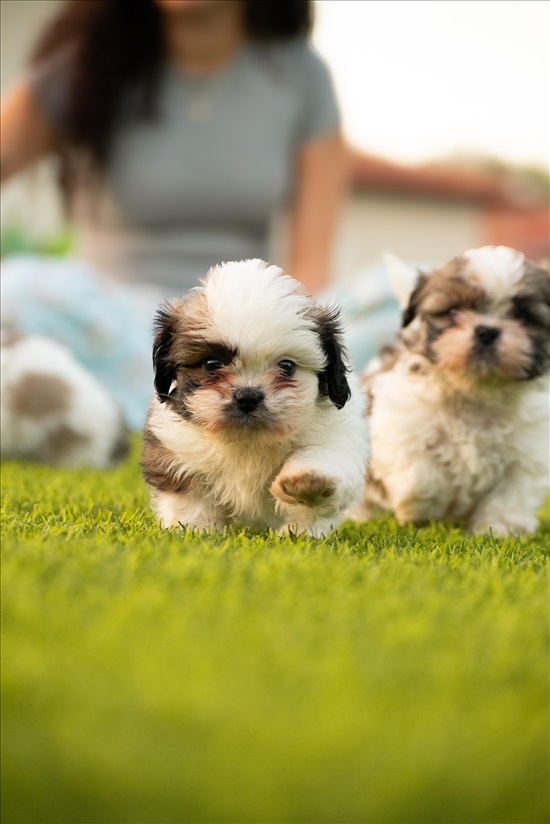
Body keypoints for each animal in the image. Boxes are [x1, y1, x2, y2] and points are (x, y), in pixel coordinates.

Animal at [142, 260, 370, 536]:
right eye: (211, 364)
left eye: (286, 366)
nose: (248, 396)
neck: (249, 439)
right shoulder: (178, 449)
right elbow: (192, 498)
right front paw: (197, 530)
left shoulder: (338, 435)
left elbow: (322, 463)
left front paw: (306, 486)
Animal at [354, 245, 550, 536]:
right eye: (454, 311)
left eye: (523, 317)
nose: (487, 331)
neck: (475, 391)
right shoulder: (401, 429)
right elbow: (422, 476)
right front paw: (421, 510)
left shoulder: (526, 455)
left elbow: (509, 496)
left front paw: (498, 530)